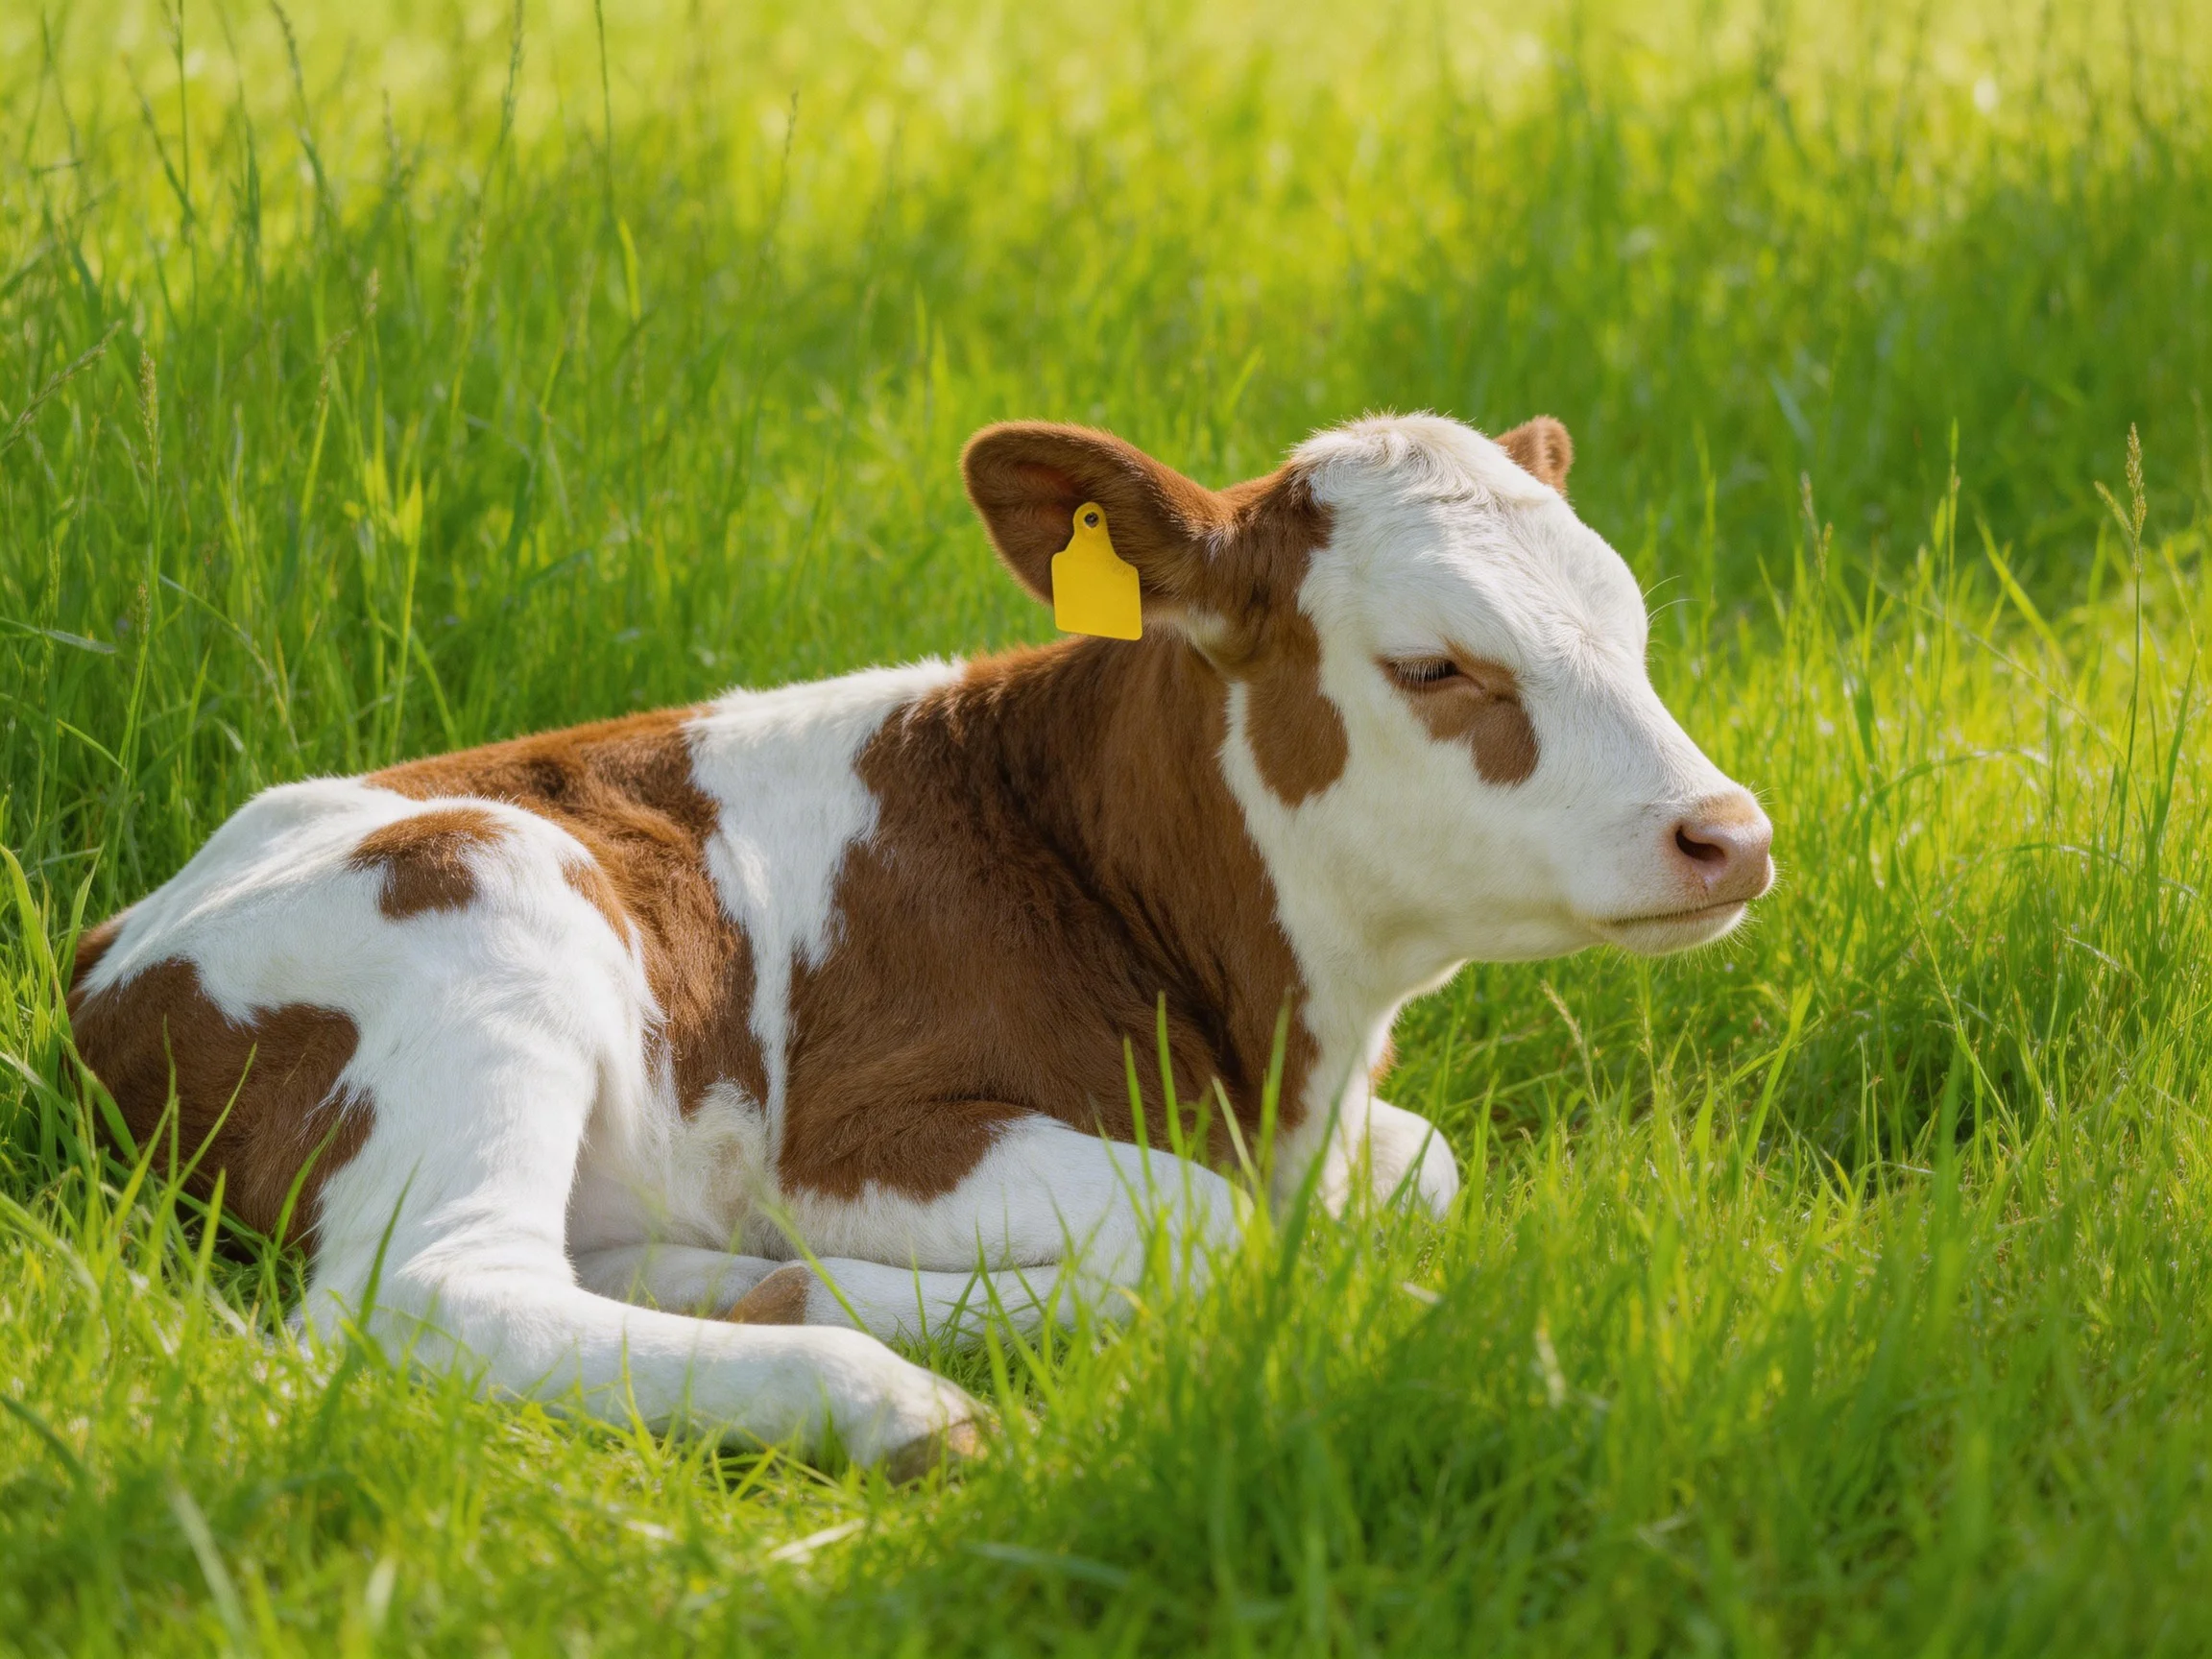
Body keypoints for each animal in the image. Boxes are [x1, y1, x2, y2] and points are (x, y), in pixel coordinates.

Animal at [64, 413, 1773, 1479]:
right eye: (1433, 664)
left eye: (1632, 628)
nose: (1730, 832)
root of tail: (118, 938)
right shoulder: (858, 1133)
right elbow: (1206, 1223)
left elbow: (1424, 1170)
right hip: (483, 899)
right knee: (431, 1298)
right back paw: (885, 1399)